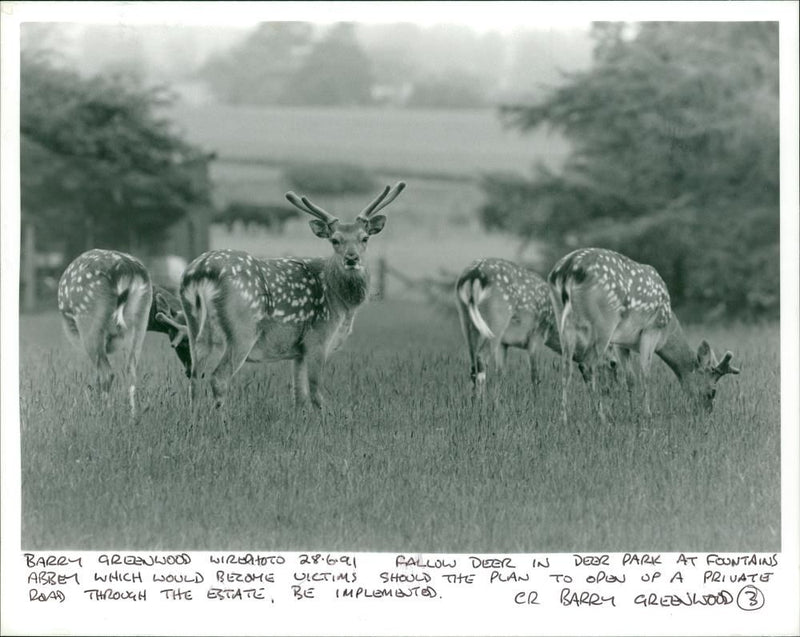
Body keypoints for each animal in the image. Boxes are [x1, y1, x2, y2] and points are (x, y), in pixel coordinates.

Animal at [57, 248, 192, 418]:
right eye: (184, 343)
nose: (191, 371)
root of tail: (126, 270)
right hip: (139, 321)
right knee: (131, 371)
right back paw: (133, 416)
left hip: (89, 320)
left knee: (107, 373)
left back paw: (103, 413)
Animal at [181, 180, 406, 408]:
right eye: (335, 240)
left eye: (365, 238)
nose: (352, 258)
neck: (340, 302)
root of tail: (201, 270)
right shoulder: (318, 338)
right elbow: (316, 393)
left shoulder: (298, 351)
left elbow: (299, 395)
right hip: (242, 329)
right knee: (218, 378)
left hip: (195, 329)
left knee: (194, 378)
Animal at [454, 258, 620, 388]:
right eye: (613, 364)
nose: (610, 390)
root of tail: (473, 276)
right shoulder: (537, 334)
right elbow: (535, 376)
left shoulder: (504, 343)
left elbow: (501, 375)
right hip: (496, 320)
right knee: (481, 359)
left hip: (466, 321)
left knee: (473, 366)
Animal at [548, 247, 740, 422]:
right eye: (712, 392)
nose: (706, 413)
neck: (667, 330)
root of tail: (568, 271)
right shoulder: (651, 329)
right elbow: (645, 373)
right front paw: (647, 413)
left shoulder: (620, 342)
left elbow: (630, 377)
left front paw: (631, 412)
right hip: (604, 322)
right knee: (587, 365)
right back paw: (599, 416)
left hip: (563, 318)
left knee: (567, 366)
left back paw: (563, 417)